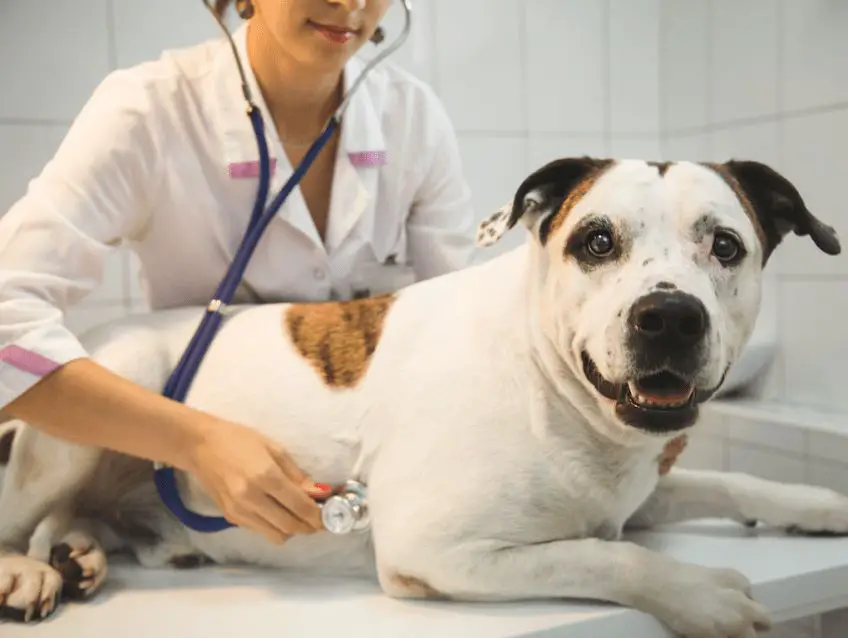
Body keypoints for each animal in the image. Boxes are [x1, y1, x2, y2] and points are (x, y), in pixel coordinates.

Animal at [0, 156, 840, 638]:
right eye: (597, 241)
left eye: (725, 245)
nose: (668, 316)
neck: (549, 390)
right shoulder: (438, 548)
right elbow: (604, 557)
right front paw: (701, 593)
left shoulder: (639, 490)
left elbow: (729, 480)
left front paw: (818, 505)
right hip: (96, 396)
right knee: (24, 514)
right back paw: (32, 571)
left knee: (70, 521)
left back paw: (82, 554)